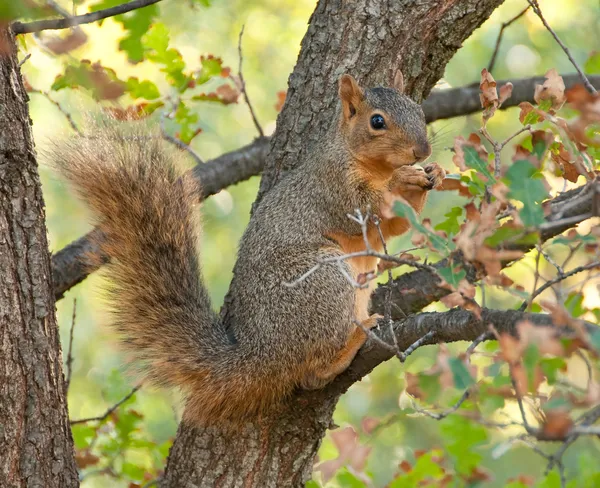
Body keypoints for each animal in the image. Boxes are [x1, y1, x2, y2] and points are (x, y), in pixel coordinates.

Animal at [51, 73, 446, 428]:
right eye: (377, 121)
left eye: (418, 108)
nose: (423, 150)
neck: (369, 163)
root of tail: (260, 355)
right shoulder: (331, 187)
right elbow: (363, 211)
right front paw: (403, 179)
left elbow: (395, 227)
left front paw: (435, 174)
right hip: (321, 281)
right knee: (313, 372)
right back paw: (351, 342)